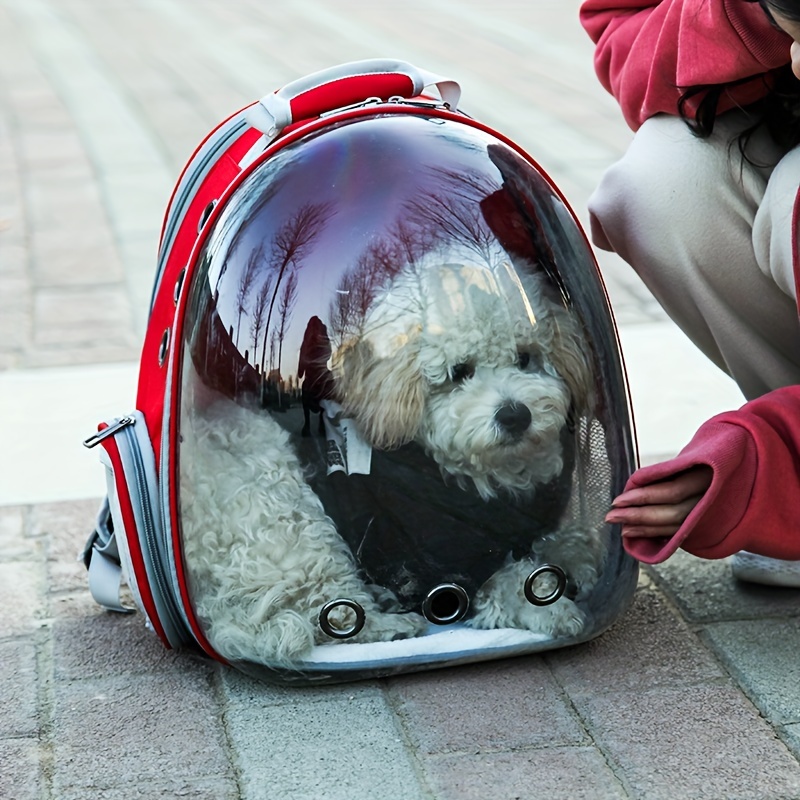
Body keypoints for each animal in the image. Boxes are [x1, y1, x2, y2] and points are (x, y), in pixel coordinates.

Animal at [180, 260, 608, 664]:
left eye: (526, 357)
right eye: (459, 372)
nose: (515, 415)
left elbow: (560, 541)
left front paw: (578, 557)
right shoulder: (436, 562)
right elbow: (506, 583)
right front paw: (551, 605)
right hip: (293, 526)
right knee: (331, 615)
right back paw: (390, 625)